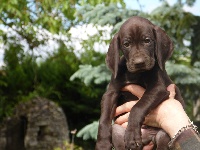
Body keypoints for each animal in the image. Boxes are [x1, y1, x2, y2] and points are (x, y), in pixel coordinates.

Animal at [95, 16, 184, 150]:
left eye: (147, 41)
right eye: (126, 44)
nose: (139, 63)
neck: (135, 74)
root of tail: (148, 138)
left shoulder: (157, 88)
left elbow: (137, 107)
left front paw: (132, 135)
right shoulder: (111, 93)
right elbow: (104, 118)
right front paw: (102, 143)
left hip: (164, 135)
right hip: (117, 132)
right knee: (115, 131)